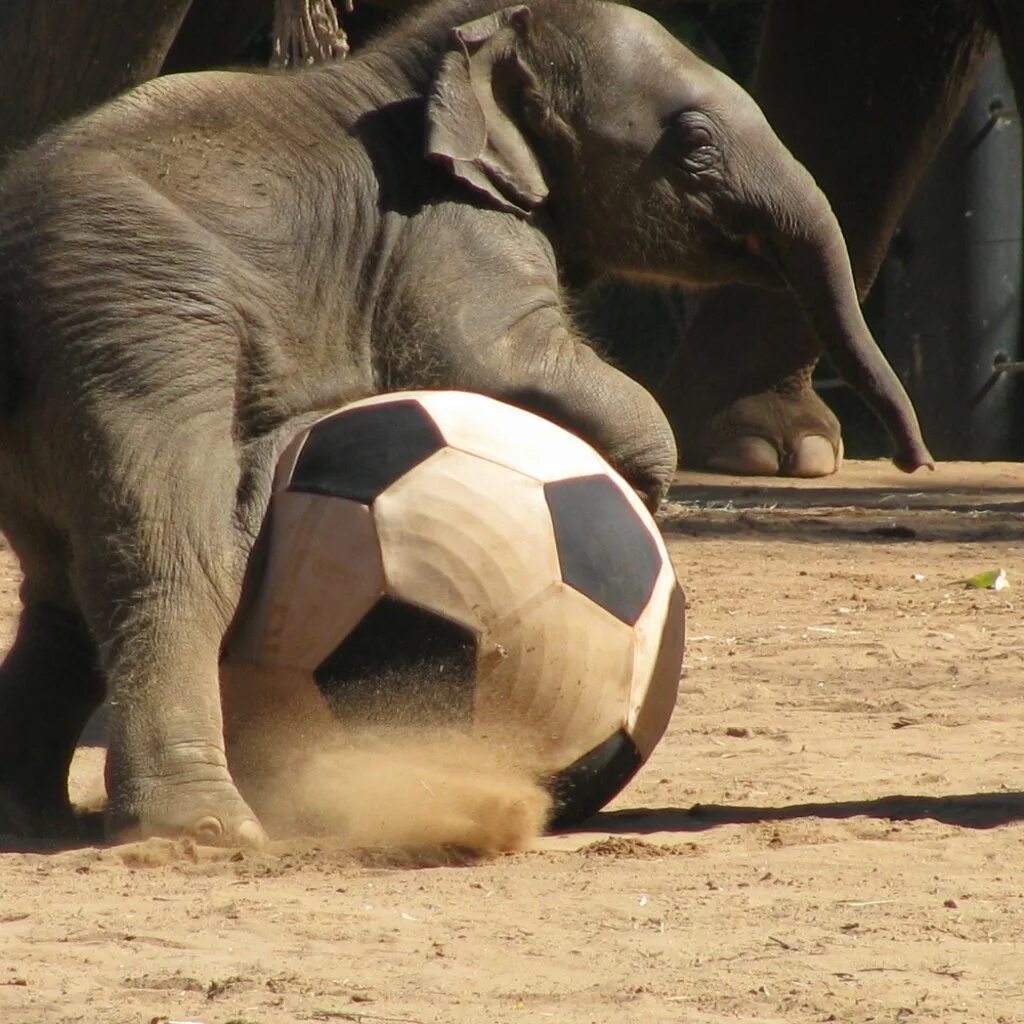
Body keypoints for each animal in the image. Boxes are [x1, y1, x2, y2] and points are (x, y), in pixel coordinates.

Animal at [0, 0, 933, 843]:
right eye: (695, 142)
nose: (916, 461)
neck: (443, 48)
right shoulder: (444, 229)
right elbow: (497, 362)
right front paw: (639, 495)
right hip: (140, 328)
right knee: (171, 560)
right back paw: (204, 832)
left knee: (62, 592)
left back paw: (37, 818)